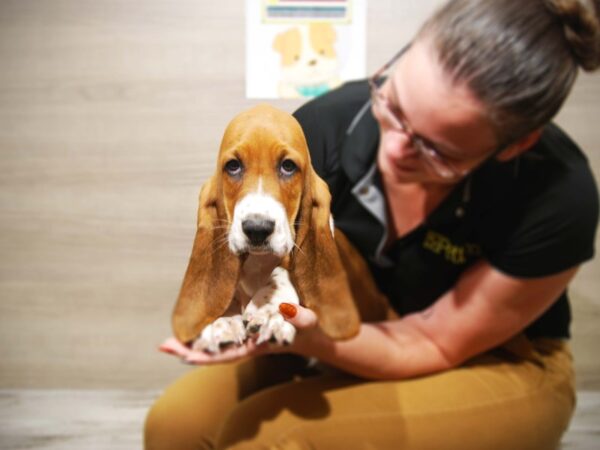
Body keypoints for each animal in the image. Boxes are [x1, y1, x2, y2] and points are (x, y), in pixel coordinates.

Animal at [172, 104, 390, 352]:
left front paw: (269, 308)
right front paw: (223, 322)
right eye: (233, 166)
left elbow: (285, 270)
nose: (257, 229)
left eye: (288, 166)